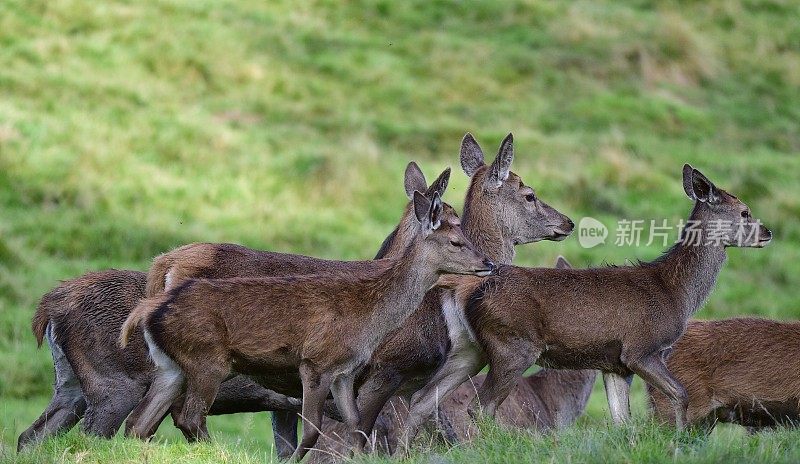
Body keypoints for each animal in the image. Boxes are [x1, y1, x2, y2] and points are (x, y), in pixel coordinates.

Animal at [17, 160, 450, 454]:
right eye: (451, 222)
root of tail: (49, 308)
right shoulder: (378, 375)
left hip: (72, 386)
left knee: (32, 435)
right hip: (115, 385)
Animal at [120, 190, 494, 462]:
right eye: (456, 241)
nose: (488, 263)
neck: (367, 315)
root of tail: (150, 305)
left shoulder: (344, 372)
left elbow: (356, 425)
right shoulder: (316, 362)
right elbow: (314, 431)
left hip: (171, 366)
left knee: (139, 422)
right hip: (207, 360)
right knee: (189, 417)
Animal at [396, 164, 772, 454]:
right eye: (744, 212)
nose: (767, 232)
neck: (675, 292)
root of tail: (464, 288)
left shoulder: (616, 365)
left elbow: (623, 422)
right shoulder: (642, 349)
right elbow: (680, 395)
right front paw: (678, 445)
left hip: (468, 348)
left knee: (422, 399)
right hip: (512, 345)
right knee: (480, 407)